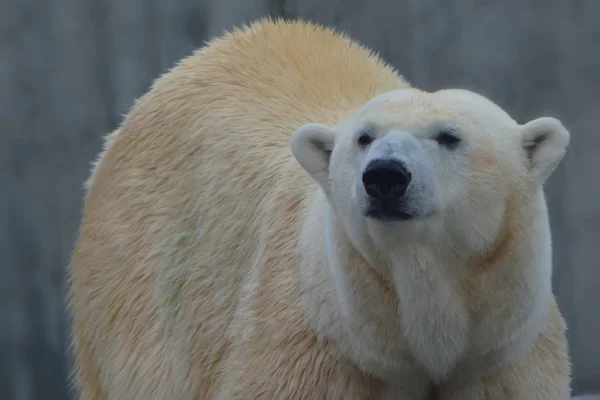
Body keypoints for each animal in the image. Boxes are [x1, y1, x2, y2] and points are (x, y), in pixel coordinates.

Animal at [68, 18, 568, 400]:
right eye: (363, 137)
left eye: (449, 136)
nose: (384, 176)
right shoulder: (313, 340)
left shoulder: (502, 357)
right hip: (133, 292)